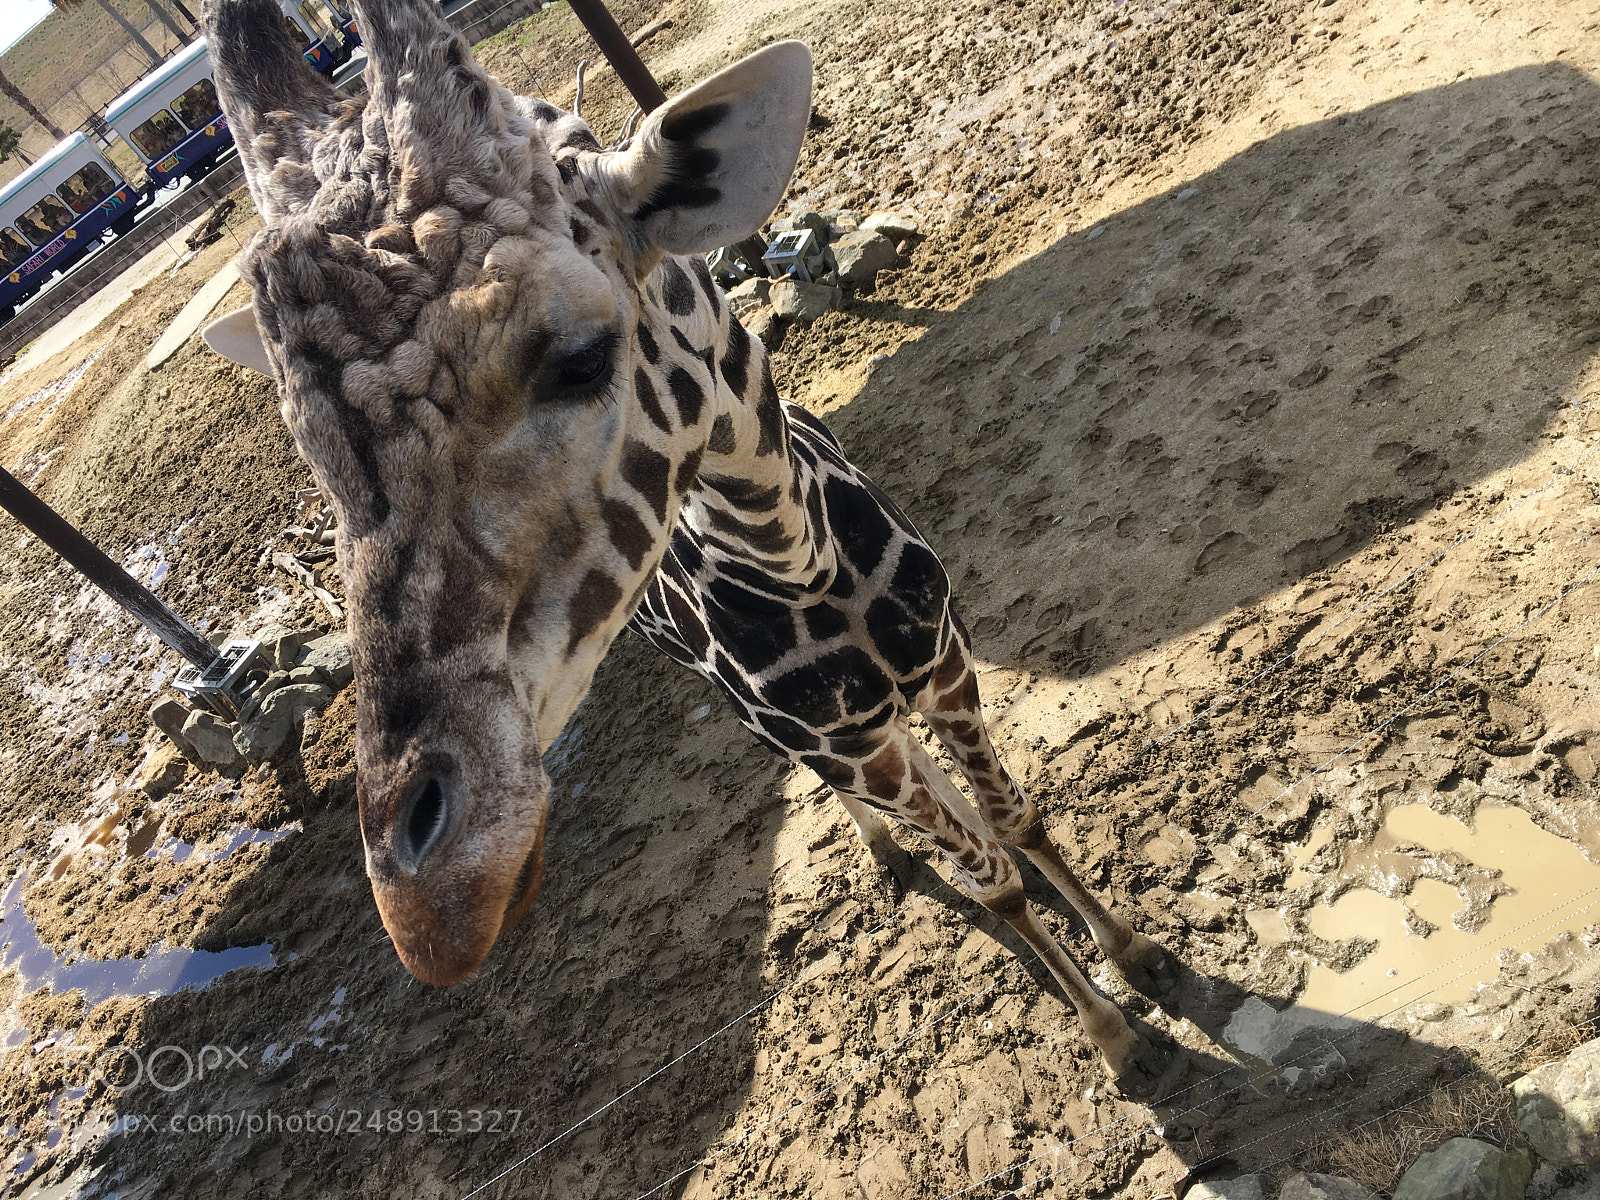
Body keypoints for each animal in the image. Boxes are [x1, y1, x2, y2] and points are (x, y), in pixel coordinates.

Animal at [200, 0, 1173, 1090]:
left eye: (580, 357)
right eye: (310, 444)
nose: (431, 912)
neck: (800, 557)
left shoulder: (948, 662)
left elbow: (1013, 821)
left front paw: (1135, 951)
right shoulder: (834, 732)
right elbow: (991, 878)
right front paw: (1111, 1037)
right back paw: (886, 849)